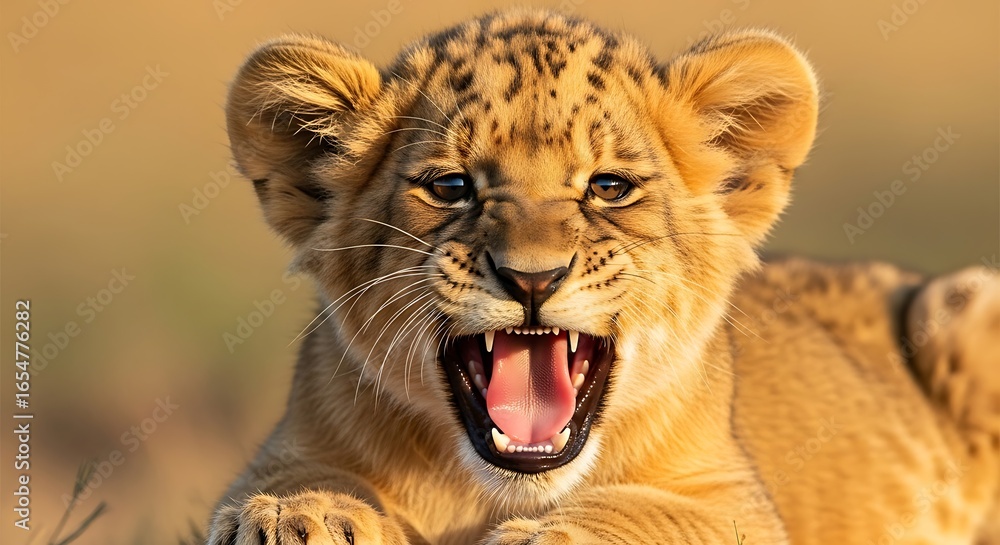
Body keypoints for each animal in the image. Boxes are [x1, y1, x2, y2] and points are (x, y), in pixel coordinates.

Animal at [207, 9, 999, 545]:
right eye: (452, 187)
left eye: (609, 188)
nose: (531, 278)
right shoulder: (285, 446)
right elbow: (285, 480)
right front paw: (298, 514)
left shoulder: (736, 500)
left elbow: (643, 513)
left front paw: (543, 534)